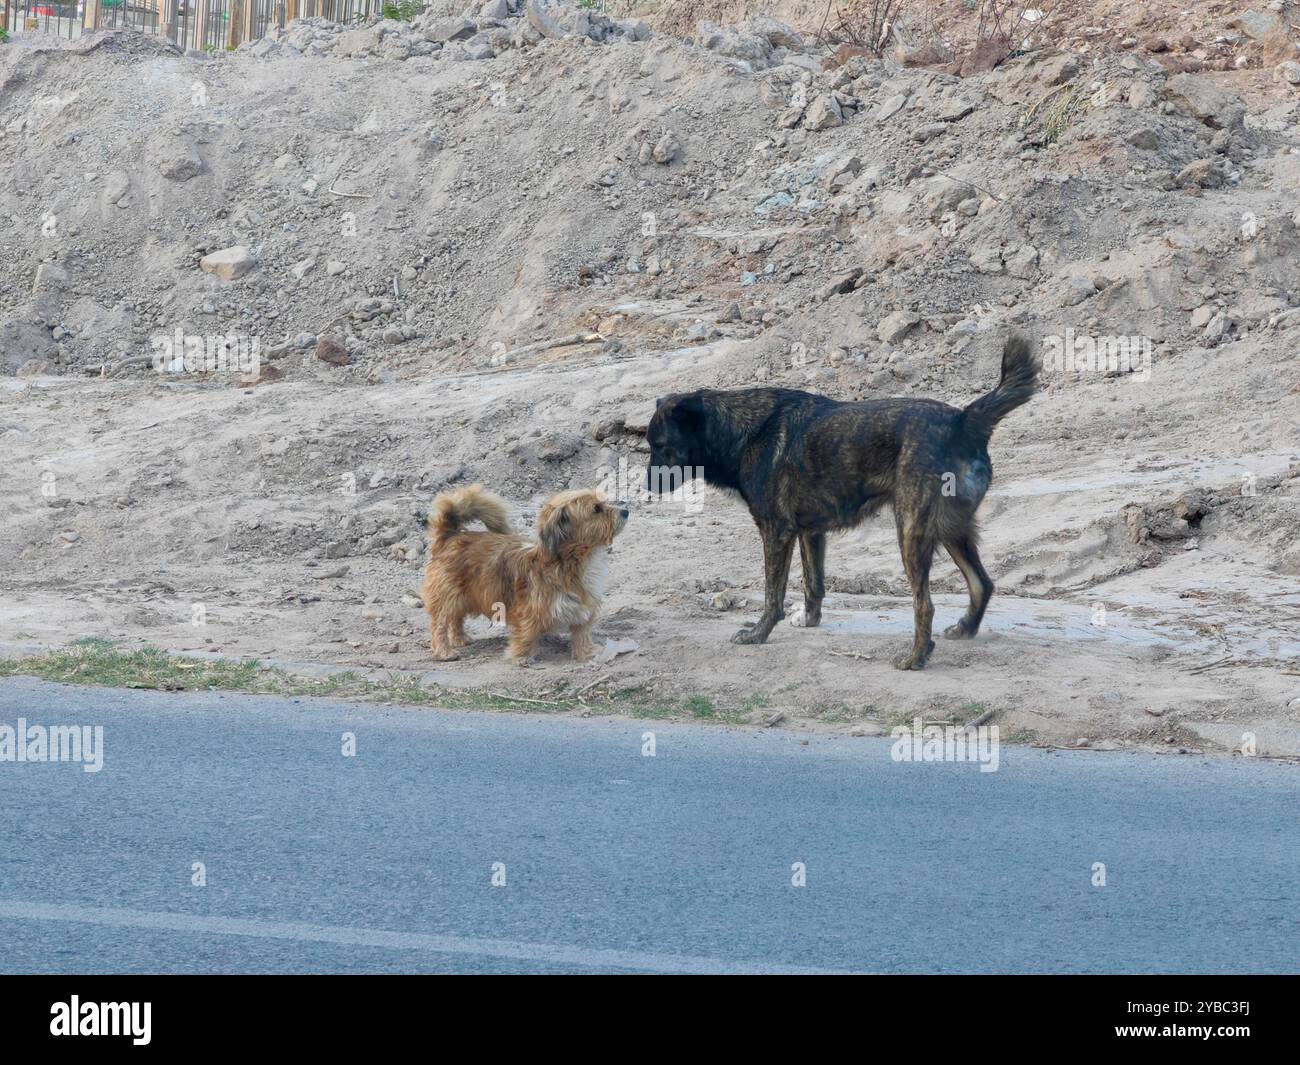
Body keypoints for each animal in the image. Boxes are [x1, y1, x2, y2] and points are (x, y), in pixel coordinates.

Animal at [423, 486, 626, 665]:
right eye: (596, 509)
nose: (625, 511)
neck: (573, 562)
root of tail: (450, 536)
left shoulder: (583, 609)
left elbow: (582, 633)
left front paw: (586, 652)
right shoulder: (528, 611)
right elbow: (526, 634)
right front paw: (521, 657)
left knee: (456, 618)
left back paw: (460, 639)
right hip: (447, 595)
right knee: (440, 623)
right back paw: (444, 651)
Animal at [647, 335, 1034, 665]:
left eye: (662, 447)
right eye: (649, 444)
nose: (647, 486)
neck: (739, 431)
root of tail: (964, 420)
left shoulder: (777, 532)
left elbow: (773, 594)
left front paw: (758, 634)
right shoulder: (810, 533)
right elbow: (813, 584)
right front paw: (810, 620)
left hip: (911, 532)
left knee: (925, 604)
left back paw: (916, 658)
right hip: (951, 529)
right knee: (982, 583)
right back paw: (964, 629)